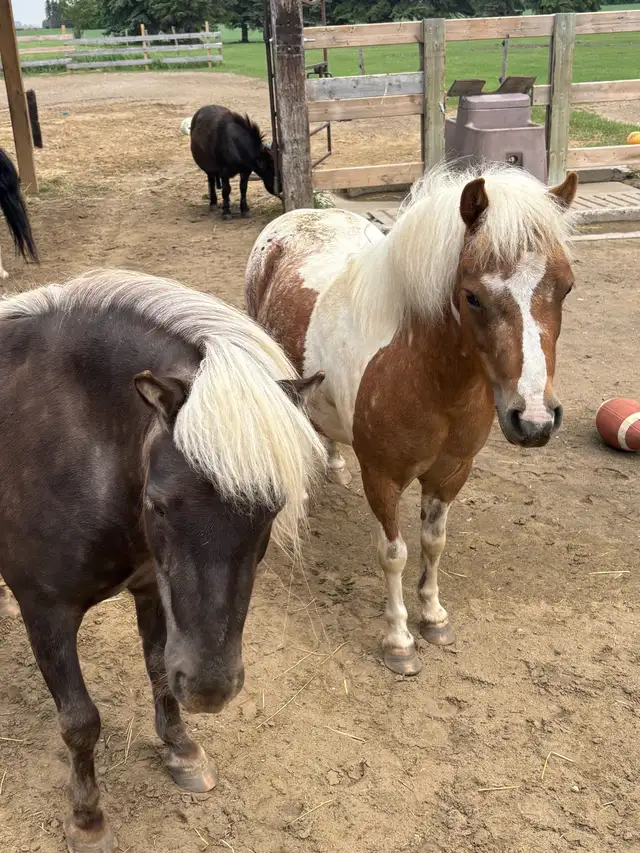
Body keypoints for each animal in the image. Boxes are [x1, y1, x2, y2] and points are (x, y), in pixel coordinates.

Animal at [0, 269, 325, 853]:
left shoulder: (153, 589)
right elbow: (79, 721)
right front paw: (87, 818)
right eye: (158, 504)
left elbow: (157, 669)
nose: (210, 689)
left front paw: (182, 749)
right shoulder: (47, 614)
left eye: (273, 508)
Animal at [245, 163, 578, 677]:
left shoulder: (451, 473)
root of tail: (293, 218)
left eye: (565, 287)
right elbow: (395, 554)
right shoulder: (382, 477)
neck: (424, 373)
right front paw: (399, 641)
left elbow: (433, 542)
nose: (535, 419)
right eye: (472, 296)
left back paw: (334, 466)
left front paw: (434, 617)